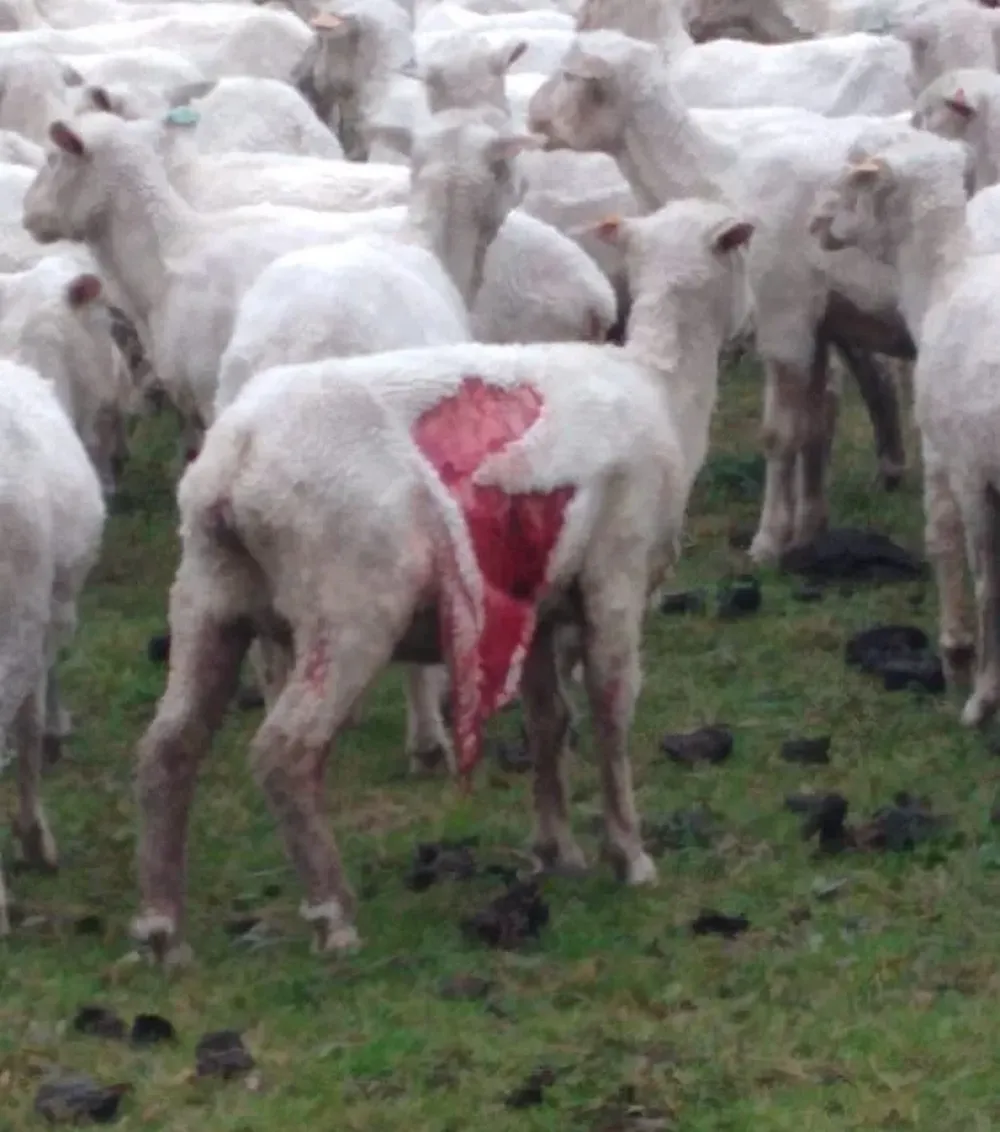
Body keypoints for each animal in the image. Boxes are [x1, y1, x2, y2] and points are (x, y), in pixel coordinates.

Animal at [129, 195, 754, 964]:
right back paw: (332, 914)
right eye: (743, 252)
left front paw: (557, 849)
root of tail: (235, 461)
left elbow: (549, 721)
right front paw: (629, 856)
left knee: (167, 747)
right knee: (285, 753)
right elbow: (611, 709)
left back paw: (163, 928)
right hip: (349, 605)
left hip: (208, 595)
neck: (662, 385)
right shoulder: (617, 572)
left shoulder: (535, 600)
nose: (748, 331)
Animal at [528, 30, 921, 562]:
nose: (531, 116)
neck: (722, 175)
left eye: (570, 75)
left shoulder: (783, 317)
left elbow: (782, 435)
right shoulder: (814, 323)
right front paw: (809, 529)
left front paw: (769, 541)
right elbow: (817, 425)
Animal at [809, 131, 1000, 726]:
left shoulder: (956, 459)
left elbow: (964, 561)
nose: (815, 221)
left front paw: (972, 681)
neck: (943, 279)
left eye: (852, 177)